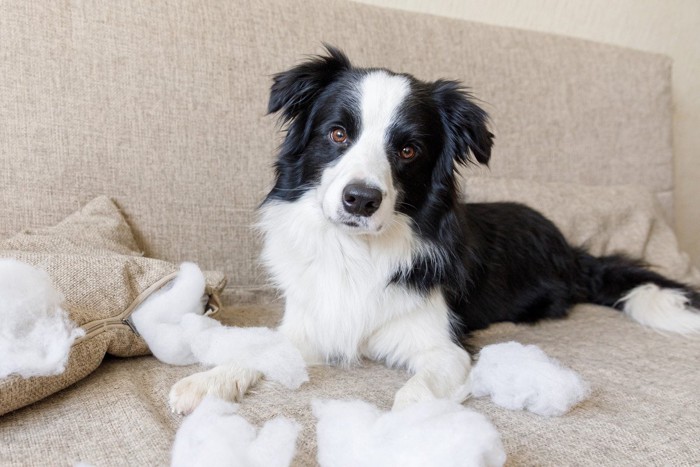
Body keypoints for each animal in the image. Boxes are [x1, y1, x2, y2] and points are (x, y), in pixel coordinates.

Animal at [170, 46, 700, 414]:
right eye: (338, 133)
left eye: (408, 150)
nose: (360, 199)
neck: (358, 250)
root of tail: (571, 249)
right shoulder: (315, 323)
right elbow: (261, 352)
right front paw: (205, 382)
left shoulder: (443, 349)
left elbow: (414, 395)